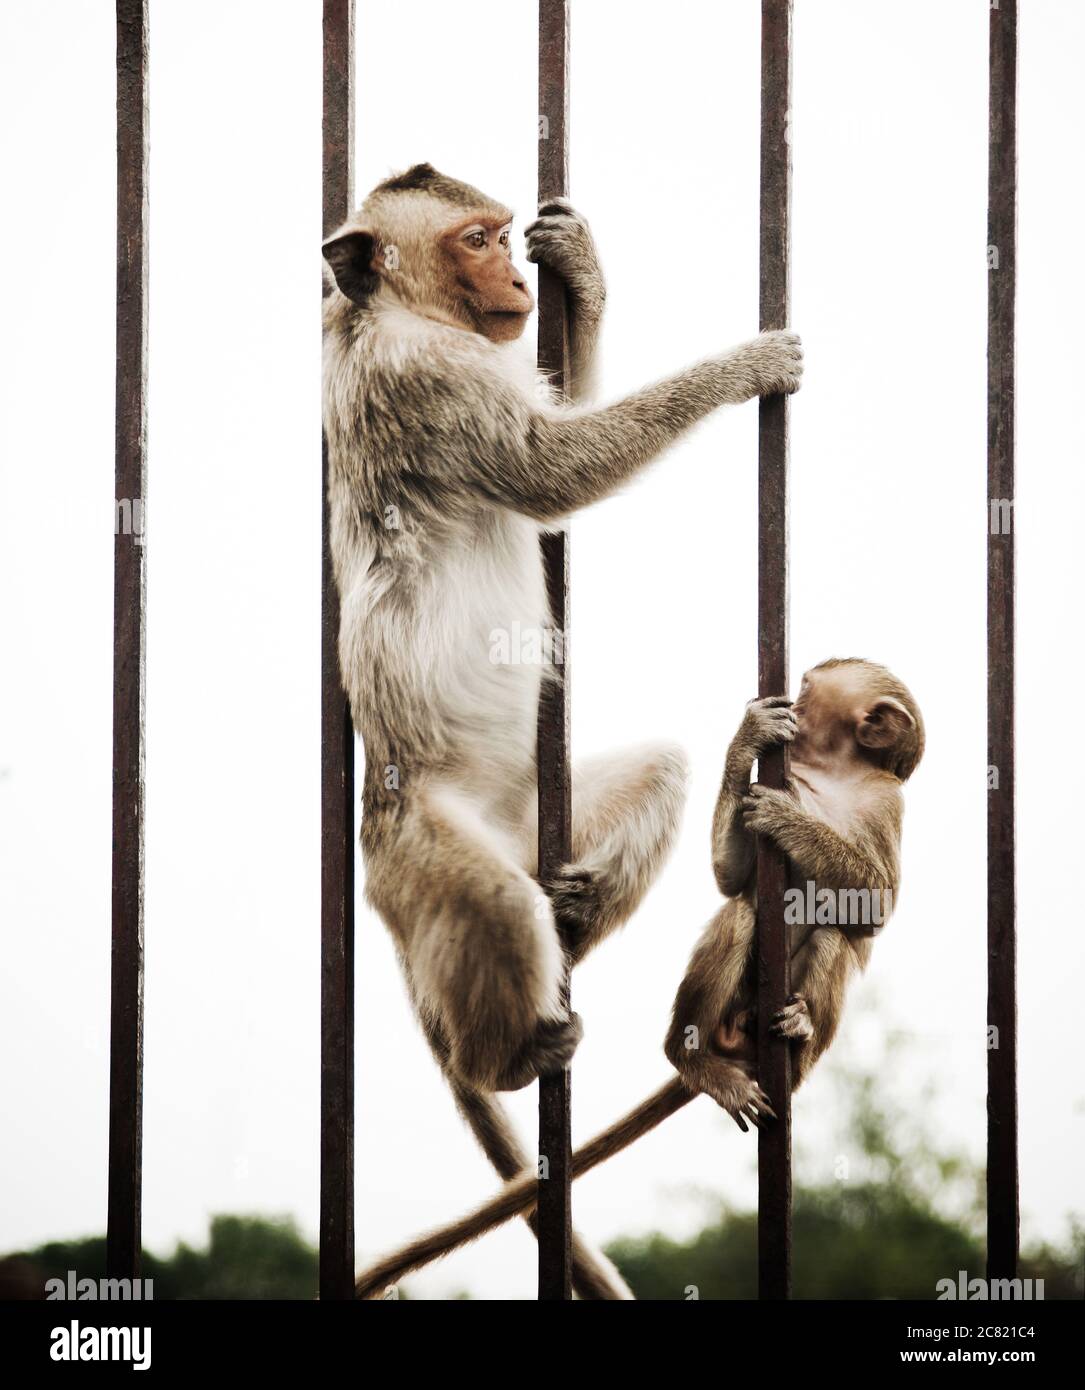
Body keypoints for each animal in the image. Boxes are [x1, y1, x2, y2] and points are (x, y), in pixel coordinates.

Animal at [322, 165, 805, 1301]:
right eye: (471, 240)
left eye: (503, 236)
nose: (511, 276)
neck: (388, 312)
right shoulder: (429, 376)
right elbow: (550, 469)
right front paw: (743, 364)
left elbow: (558, 460)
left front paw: (582, 271)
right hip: (427, 853)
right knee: (494, 908)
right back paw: (504, 1054)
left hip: (539, 814)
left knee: (652, 779)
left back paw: (577, 914)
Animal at [348, 656, 922, 1295]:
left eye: (804, 688)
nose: (789, 701)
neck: (833, 779)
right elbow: (732, 876)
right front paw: (746, 741)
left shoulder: (886, 803)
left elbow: (873, 908)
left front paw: (787, 817)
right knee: (745, 913)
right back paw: (689, 1054)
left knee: (833, 938)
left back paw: (796, 1038)